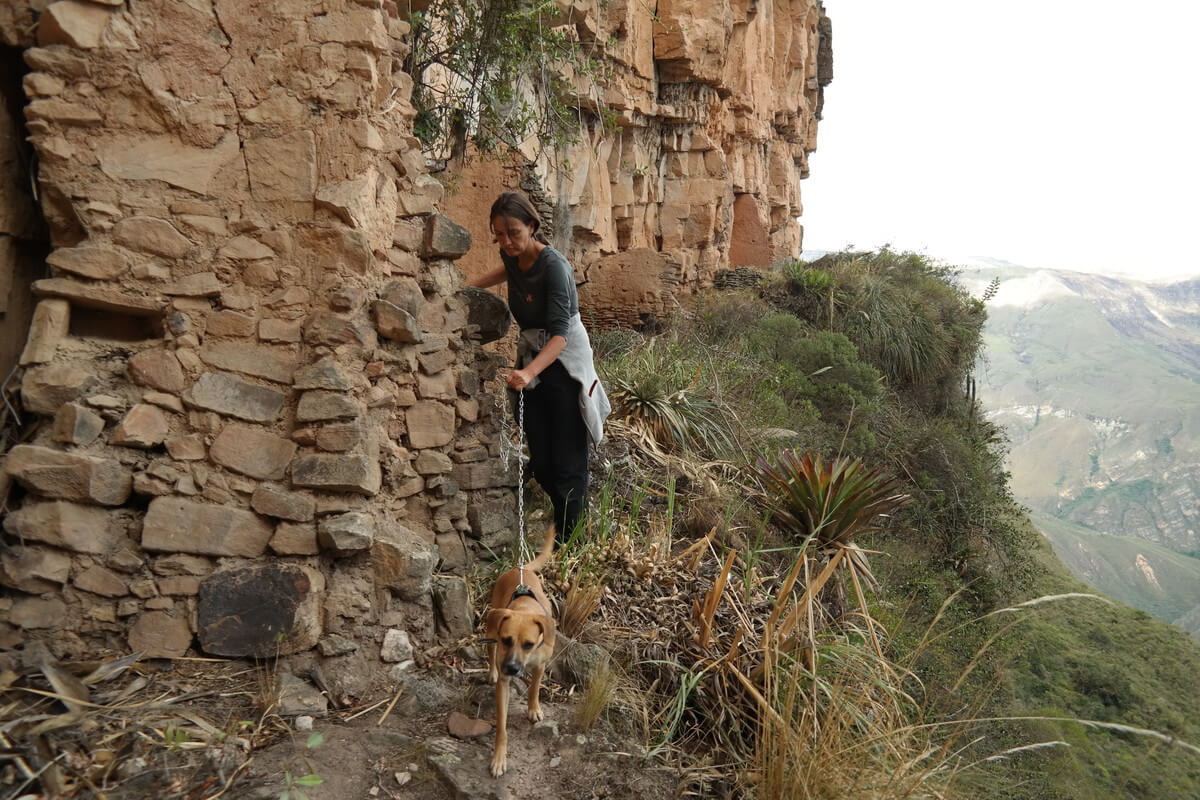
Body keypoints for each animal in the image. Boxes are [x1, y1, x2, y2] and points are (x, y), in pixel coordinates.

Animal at [482, 525, 556, 777]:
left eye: (529, 645)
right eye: (507, 640)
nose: (512, 669)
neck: (525, 608)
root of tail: (519, 568)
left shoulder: (540, 664)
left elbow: (534, 688)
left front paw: (533, 708)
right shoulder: (503, 682)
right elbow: (502, 727)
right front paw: (498, 758)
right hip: (490, 628)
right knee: (490, 652)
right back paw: (492, 672)